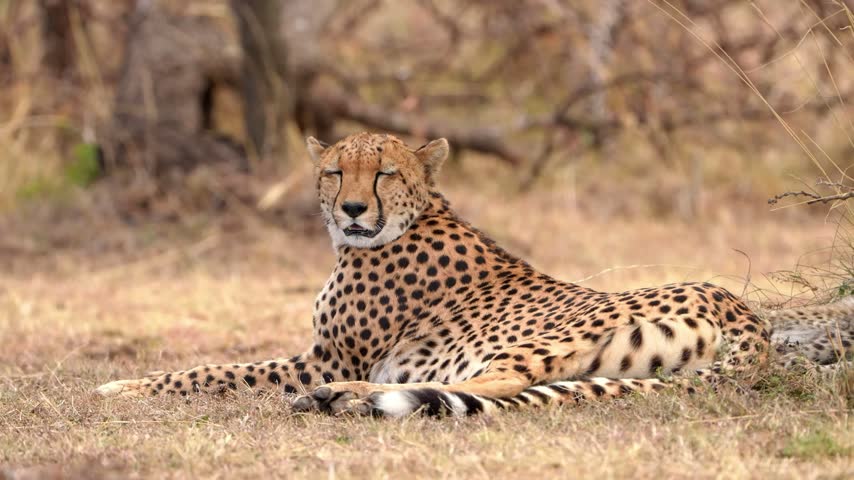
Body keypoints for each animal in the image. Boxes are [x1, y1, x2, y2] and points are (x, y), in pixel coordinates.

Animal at [96, 132, 854, 417]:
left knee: (488, 386)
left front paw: (121, 384)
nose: (351, 209)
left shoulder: (322, 358)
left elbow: (209, 370)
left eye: (385, 172)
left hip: (526, 339)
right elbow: (212, 367)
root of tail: (744, 314)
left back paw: (345, 398)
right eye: (336, 170)